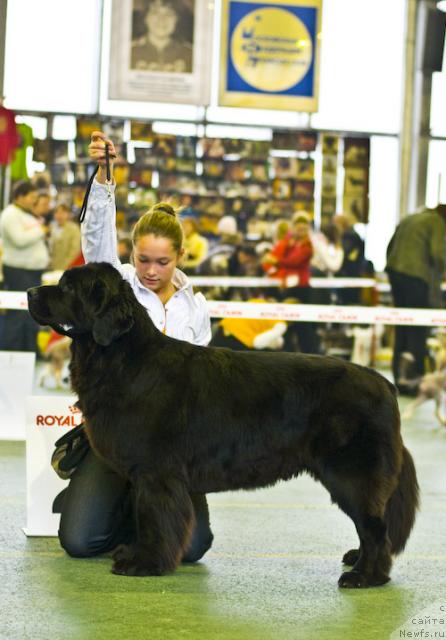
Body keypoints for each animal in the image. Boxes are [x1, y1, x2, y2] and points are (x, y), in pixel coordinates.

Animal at [27, 262, 418, 588]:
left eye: (66, 287)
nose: (30, 291)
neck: (122, 358)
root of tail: (385, 384)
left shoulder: (155, 473)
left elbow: (154, 518)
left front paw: (145, 563)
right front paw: (136, 553)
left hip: (352, 474)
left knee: (375, 527)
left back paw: (366, 576)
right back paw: (357, 561)